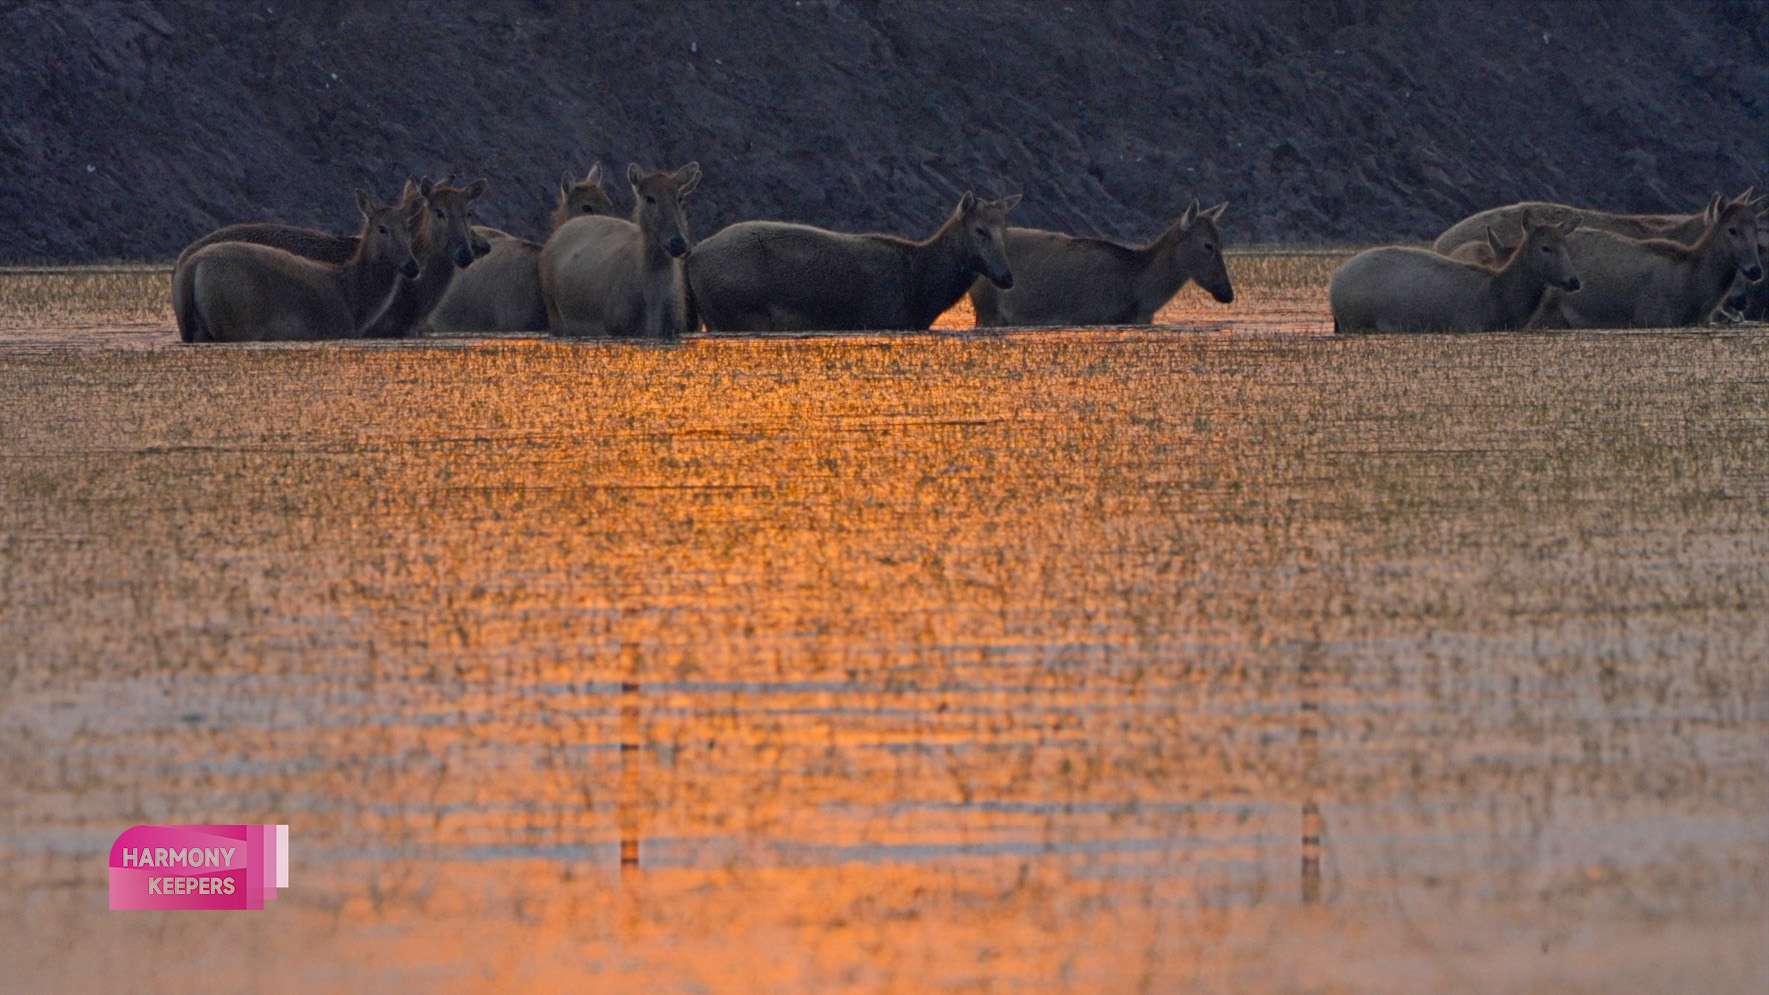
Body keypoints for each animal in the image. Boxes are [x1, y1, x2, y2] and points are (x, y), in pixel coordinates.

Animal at [171, 192, 421, 343]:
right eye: (382, 228)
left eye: (408, 227)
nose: (412, 266)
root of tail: (191, 267)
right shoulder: (335, 329)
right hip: (235, 321)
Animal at [689, 192, 1026, 331]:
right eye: (980, 230)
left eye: (1005, 228)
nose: (1006, 277)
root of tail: (693, 256)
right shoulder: (883, 316)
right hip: (738, 309)